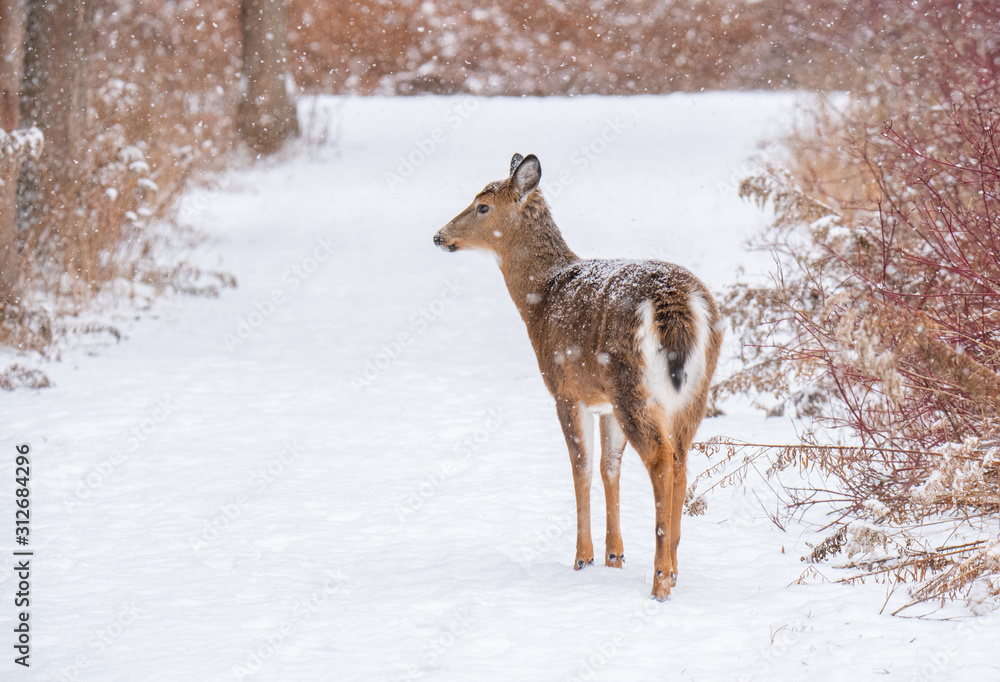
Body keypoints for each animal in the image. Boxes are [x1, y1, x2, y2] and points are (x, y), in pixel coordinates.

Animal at [433, 154, 722, 600]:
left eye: (482, 206)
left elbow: (580, 465)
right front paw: (614, 556)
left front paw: (582, 559)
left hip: (632, 384)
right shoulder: (603, 402)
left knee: (660, 459)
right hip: (692, 392)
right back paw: (674, 569)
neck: (541, 298)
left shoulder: (565, 390)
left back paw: (660, 582)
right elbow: (608, 465)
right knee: (680, 458)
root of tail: (677, 305)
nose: (438, 236)